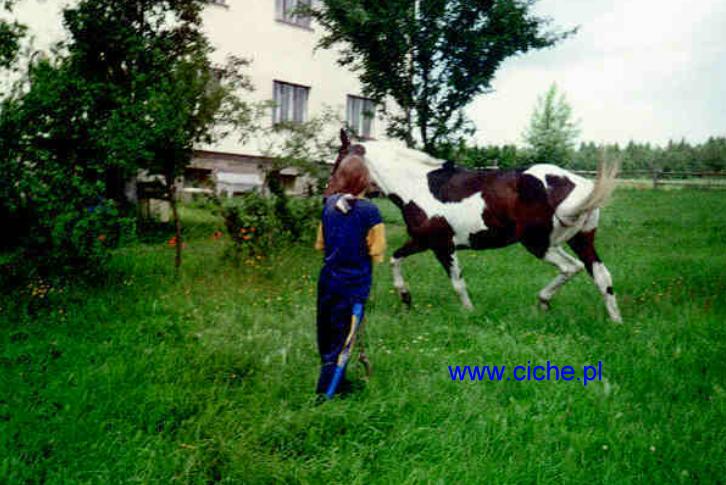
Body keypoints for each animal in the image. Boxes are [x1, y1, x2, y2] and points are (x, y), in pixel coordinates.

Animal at [332, 130, 624, 324]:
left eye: (339, 159)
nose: (329, 195)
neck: (418, 186)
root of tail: (578, 184)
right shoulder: (422, 242)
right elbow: (395, 259)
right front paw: (406, 299)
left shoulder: (442, 246)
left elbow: (457, 283)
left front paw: (469, 312)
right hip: (580, 240)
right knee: (602, 276)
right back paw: (615, 321)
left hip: (539, 244)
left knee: (571, 267)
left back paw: (543, 301)